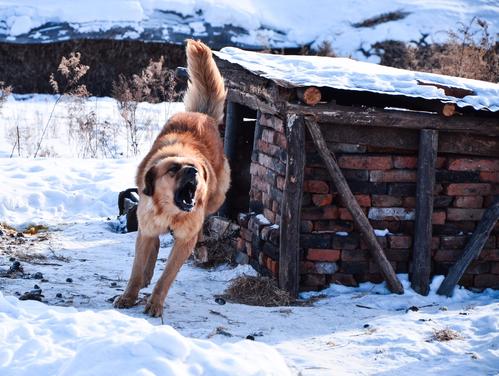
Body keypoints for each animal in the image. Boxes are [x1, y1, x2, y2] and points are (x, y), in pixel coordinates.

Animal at [114, 39, 230, 318]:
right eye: (173, 169)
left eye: (194, 168)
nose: (193, 172)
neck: (170, 211)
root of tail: (202, 115)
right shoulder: (147, 226)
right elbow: (136, 270)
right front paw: (129, 296)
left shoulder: (184, 240)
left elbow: (166, 276)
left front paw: (155, 303)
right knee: (151, 242)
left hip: (217, 197)